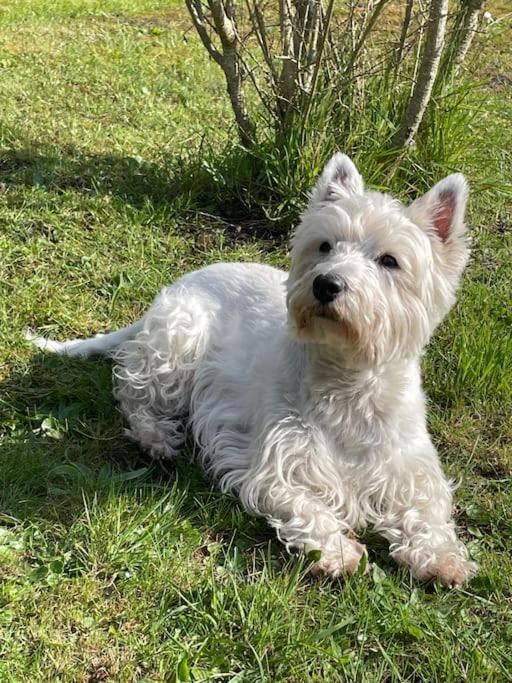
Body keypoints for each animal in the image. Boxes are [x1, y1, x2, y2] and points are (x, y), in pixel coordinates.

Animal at [29, 155, 476, 588]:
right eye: (325, 246)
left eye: (389, 261)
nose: (326, 284)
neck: (348, 381)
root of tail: (174, 287)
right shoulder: (271, 464)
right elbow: (306, 505)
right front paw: (338, 551)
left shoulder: (410, 466)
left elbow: (428, 511)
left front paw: (443, 559)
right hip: (178, 341)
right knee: (133, 391)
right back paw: (155, 438)